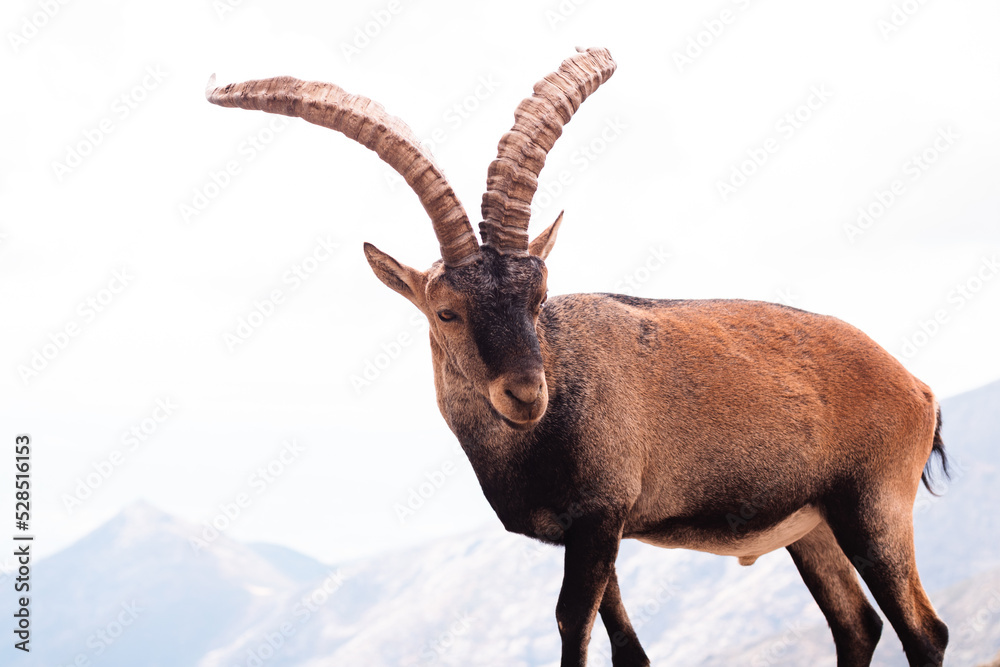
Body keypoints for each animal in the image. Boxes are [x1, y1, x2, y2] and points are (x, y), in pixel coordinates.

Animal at [206, 47, 950, 667]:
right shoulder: (590, 530)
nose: (526, 393)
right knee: (856, 624)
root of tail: (916, 387)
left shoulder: (599, 516)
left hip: (874, 506)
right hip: (812, 526)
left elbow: (571, 622)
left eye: (538, 296)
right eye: (447, 311)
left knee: (923, 630)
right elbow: (627, 647)